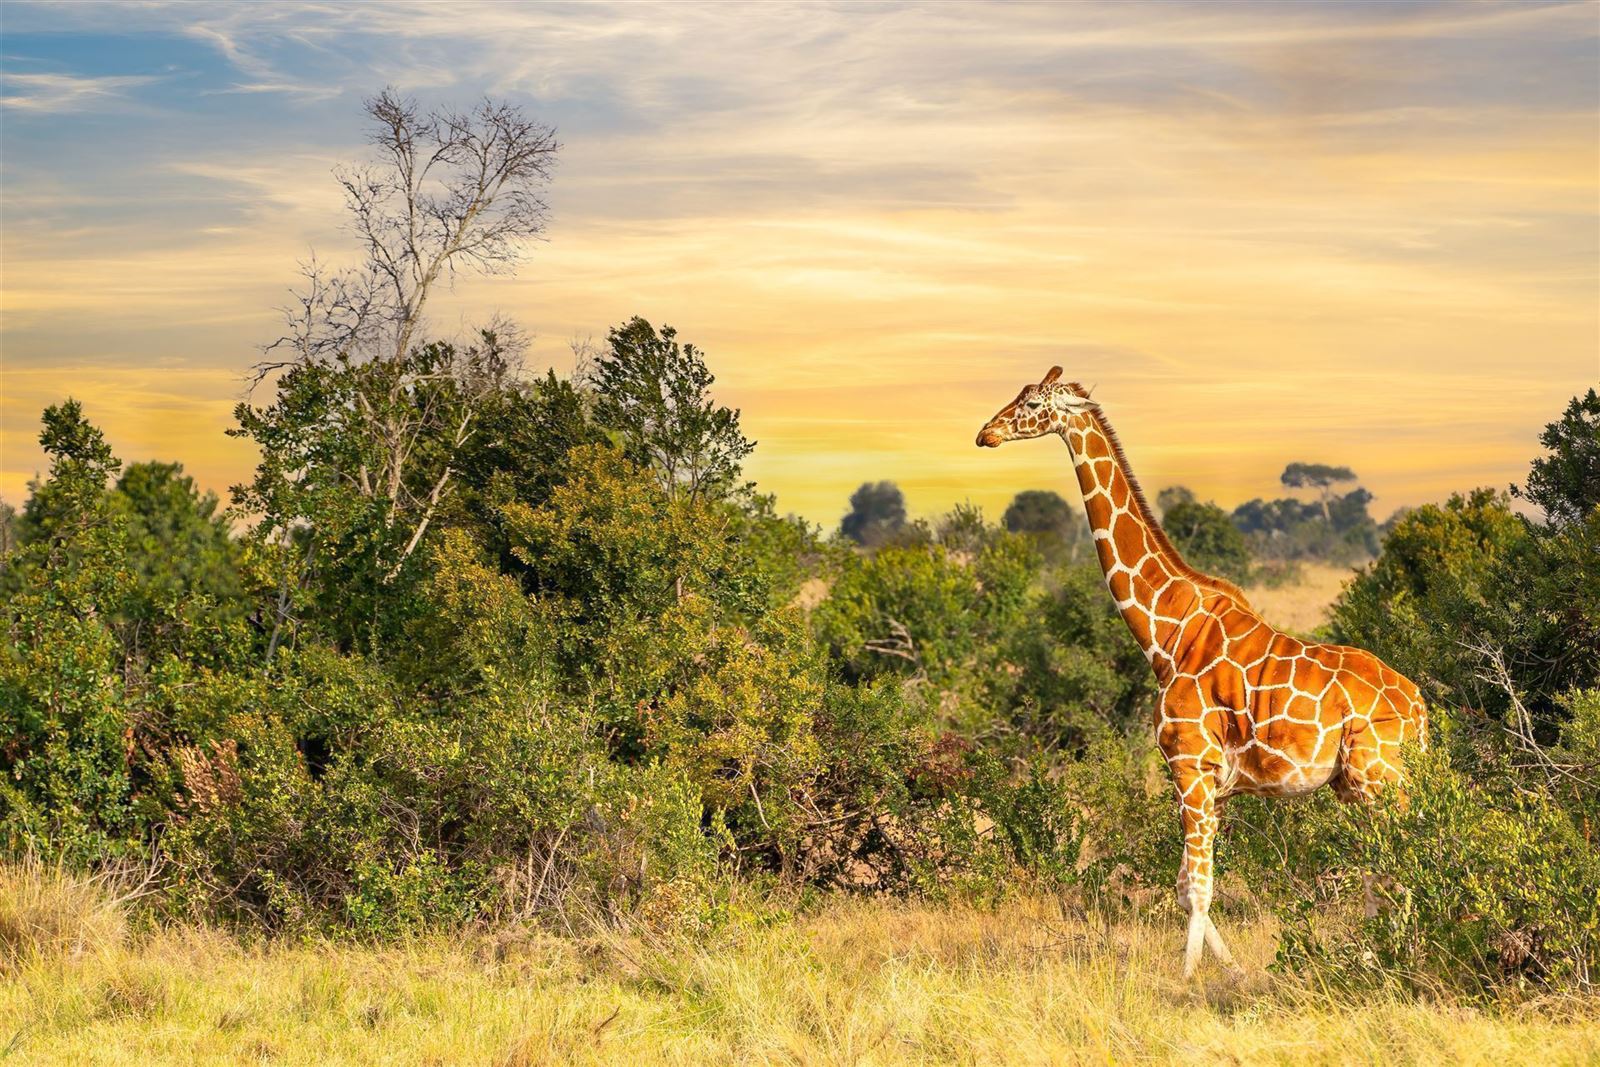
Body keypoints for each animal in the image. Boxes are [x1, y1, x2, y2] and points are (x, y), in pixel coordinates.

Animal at [976, 367, 1428, 979]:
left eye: (1030, 403)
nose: (986, 434)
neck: (1164, 633)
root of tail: (1421, 707)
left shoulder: (1189, 764)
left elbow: (1196, 888)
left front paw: (1187, 980)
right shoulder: (1213, 780)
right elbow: (1187, 885)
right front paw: (1231, 969)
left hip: (1379, 779)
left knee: (1403, 863)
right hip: (1356, 786)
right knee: (1383, 871)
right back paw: (1373, 959)